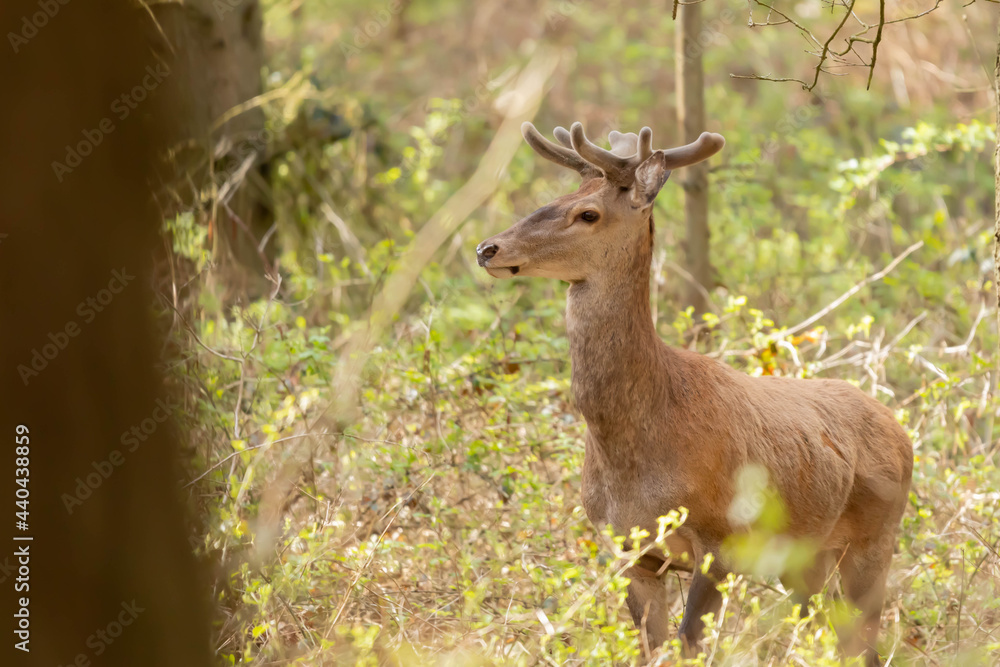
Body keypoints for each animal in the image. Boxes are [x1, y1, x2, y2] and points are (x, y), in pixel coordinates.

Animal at [476, 122, 916, 664]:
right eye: (556, 196)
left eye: (588, 213)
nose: (488, 249)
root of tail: (902, 430)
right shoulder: (629, 550)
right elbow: (650, 648)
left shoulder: (720, 539)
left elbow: (687, 645)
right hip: (805, 557)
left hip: (877, 536)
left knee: (864, 639)